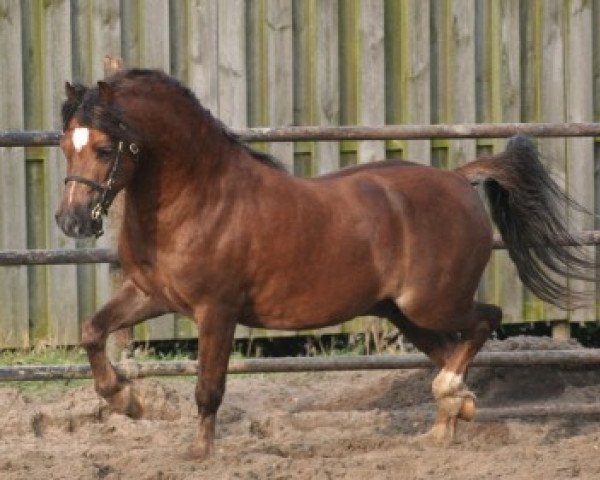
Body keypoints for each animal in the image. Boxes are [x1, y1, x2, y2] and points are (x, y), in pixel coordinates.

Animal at [55, 69, 596, 460]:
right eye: (64, 145)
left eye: (104, 147)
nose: (71, 221)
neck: (200, 200)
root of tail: (459, 179)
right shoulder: (153, 294)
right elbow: (91, 330)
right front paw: (126, 400)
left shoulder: (217, 310)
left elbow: (209, 387)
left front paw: (197, 452)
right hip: (401, 312)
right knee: (449, 351)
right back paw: (447, 421)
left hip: (432, 303)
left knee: (486, 321)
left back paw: (451, 399)